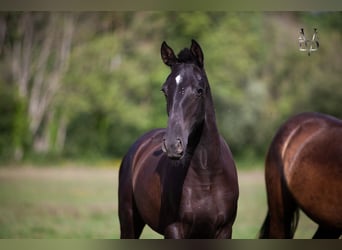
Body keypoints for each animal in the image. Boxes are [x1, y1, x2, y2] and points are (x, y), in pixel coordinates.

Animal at [117, 39, 238, 238]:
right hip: (129, 220)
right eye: (164, 90)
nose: (173, 145)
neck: (207, 175)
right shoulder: (174, 229)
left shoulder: (224, 230)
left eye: (199, 90)